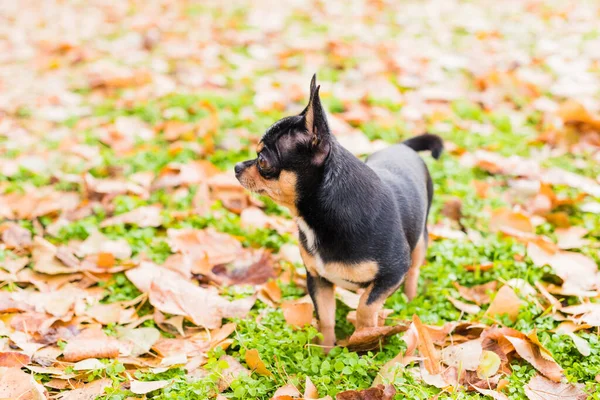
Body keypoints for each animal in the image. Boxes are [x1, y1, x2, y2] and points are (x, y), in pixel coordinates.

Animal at [234, 76, 440, 350]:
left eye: (263, 161)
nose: (236, 167)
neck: (318, 218)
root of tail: (402, 146)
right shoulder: (318, 280)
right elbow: (325, 317)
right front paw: (325, 351)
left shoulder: (392, 273)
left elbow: (366, 306)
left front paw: (365, 339)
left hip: (419, 244)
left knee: (414, 270)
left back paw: (410, 299)